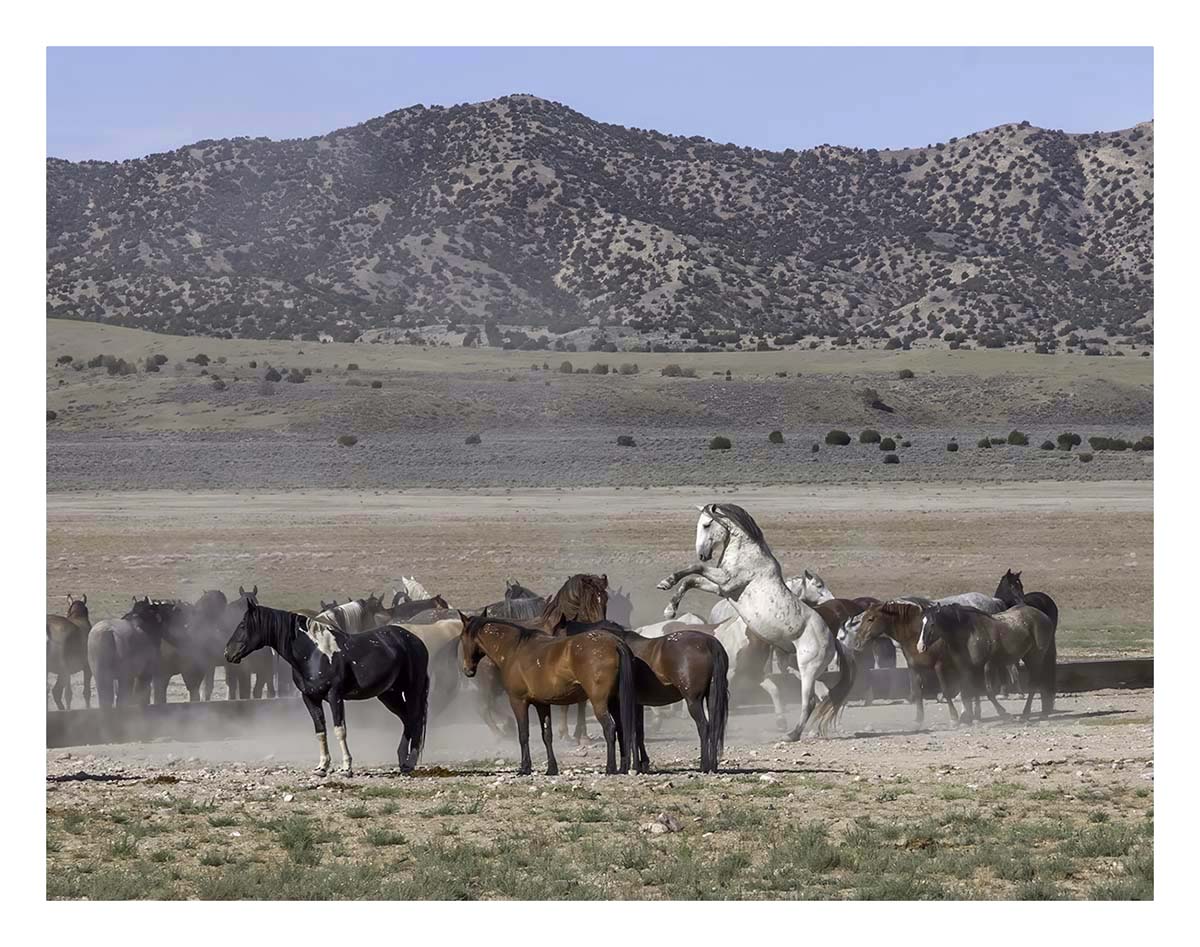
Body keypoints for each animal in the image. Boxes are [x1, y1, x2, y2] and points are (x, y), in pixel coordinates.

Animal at [224, 600, 430, 776]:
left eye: (242, 625)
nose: (228, 652)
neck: (313, 652)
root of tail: (415, 640)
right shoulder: (310, 698)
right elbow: (320, 730)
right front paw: (322, 767)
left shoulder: (334, 695)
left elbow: (340, 729)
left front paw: (346, 767)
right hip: (389, 694)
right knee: (407, 719)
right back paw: (402, 761)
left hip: (413, 690)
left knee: (415, 719)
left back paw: (410, 762)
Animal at [458, 615, 635, 776]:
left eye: (462, 637)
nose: (468, 670)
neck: (514, 649)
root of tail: (615, 643)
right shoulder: (541, 704)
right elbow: (547, 735)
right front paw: (551, 769)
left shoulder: (518, 701)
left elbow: (523, 734)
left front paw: (525, 768)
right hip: (614, 702)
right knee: (621, 729)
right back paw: (622, 768)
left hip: (599, 702)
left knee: (609, 728)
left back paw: (610, 768)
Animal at [559, 619, 730, 773]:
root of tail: (710, 643)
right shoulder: (637, 703)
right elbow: (639, 732)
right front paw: (642, 763)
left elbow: (632, 731)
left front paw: (634, 765)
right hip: (711, 697)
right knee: (714, 728)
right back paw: (713, 765)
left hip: (693, 701)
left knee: (704, 727)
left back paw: (704, 766)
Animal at [657, 504, 855, 741]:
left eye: (706, 524)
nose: (703, 554)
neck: (747, 552)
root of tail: (833, 639)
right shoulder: (722, 588)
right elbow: (692, 580)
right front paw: (669, 604)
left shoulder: (727, 581)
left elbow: (695, 569)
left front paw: (667, 583)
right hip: (804, 667)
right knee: (824, 694)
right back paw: (810, 730)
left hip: (808, 668)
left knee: (810, 701)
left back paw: (791, 734)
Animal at [916, 603, 1056, 722]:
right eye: (921, 623)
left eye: (932, 624)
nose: (920, 646)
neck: (970, 634)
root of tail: (1045, 617)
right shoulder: (967, 668)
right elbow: (971, 691)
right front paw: (973, 717)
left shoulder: (983, 665)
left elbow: (986, 691)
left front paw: (1002, 713)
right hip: (1028, 657)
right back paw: (1042, 712)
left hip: (1035, 657)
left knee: (1034, 684)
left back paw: (1025, 714)